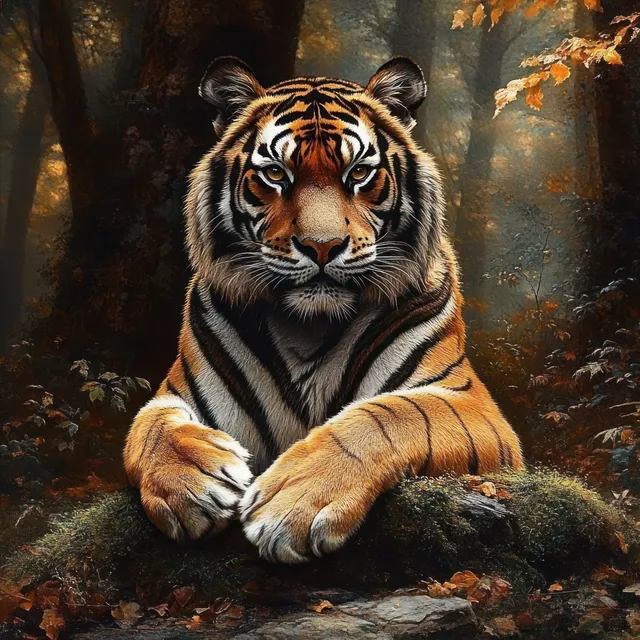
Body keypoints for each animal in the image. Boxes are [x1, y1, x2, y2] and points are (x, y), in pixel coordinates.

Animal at [123, 55, 523, 564]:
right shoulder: (179, 394)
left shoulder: (470, 403)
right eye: (276, 174)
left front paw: (293, 500)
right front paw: (193, 487)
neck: (308, 328)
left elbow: (389, 415)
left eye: (359, 173)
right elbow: (149, 427)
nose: (322, 246)